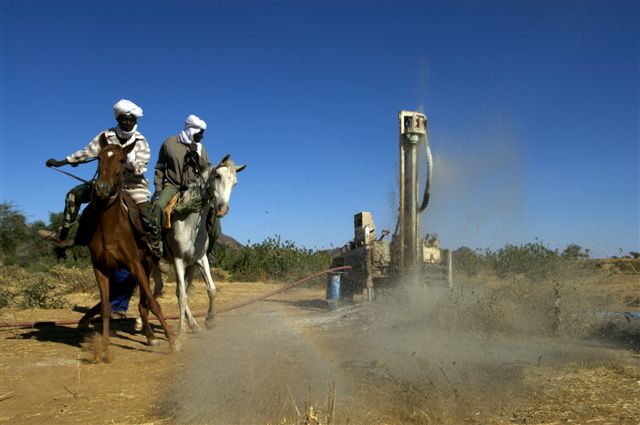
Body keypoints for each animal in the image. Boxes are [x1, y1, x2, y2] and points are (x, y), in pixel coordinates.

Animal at [84, 136, 180, 362]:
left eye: (121, 160)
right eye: (99, 158)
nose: (103, 188)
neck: (110, 228)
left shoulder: (134, 263)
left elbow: (154, 303)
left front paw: (173, 341)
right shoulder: (100, 269)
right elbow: (106, 308)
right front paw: (105, 348)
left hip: (146, 264)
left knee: (145, 302)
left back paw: (152, 336)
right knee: (140, 303)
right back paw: (149, 335)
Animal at [152, 154, 245, 336]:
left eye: (235, 183)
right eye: (217, 176)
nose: (222, 209)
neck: (189, 221)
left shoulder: (201, 260)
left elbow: (211, 290)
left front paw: (210, 320)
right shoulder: (178, 260)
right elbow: (183, 296)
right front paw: (180, 329)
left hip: (188, 267)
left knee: (164, 290)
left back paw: (193, 324)